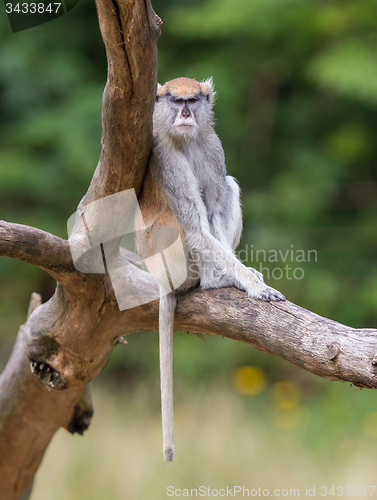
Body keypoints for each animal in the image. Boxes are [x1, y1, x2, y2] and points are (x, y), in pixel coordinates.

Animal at [135, 76, 284, 462]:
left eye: (193, 101)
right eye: (176, 101)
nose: (186, 114)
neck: (185, 139)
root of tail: (162, 281)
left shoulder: (212, 146)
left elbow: (216, 202)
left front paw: (244, 277)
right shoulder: (166, 159)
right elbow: (195, 227)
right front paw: (253, 285)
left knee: (228, 185)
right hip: (171, 262)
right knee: (180, 222)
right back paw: (213, 280)